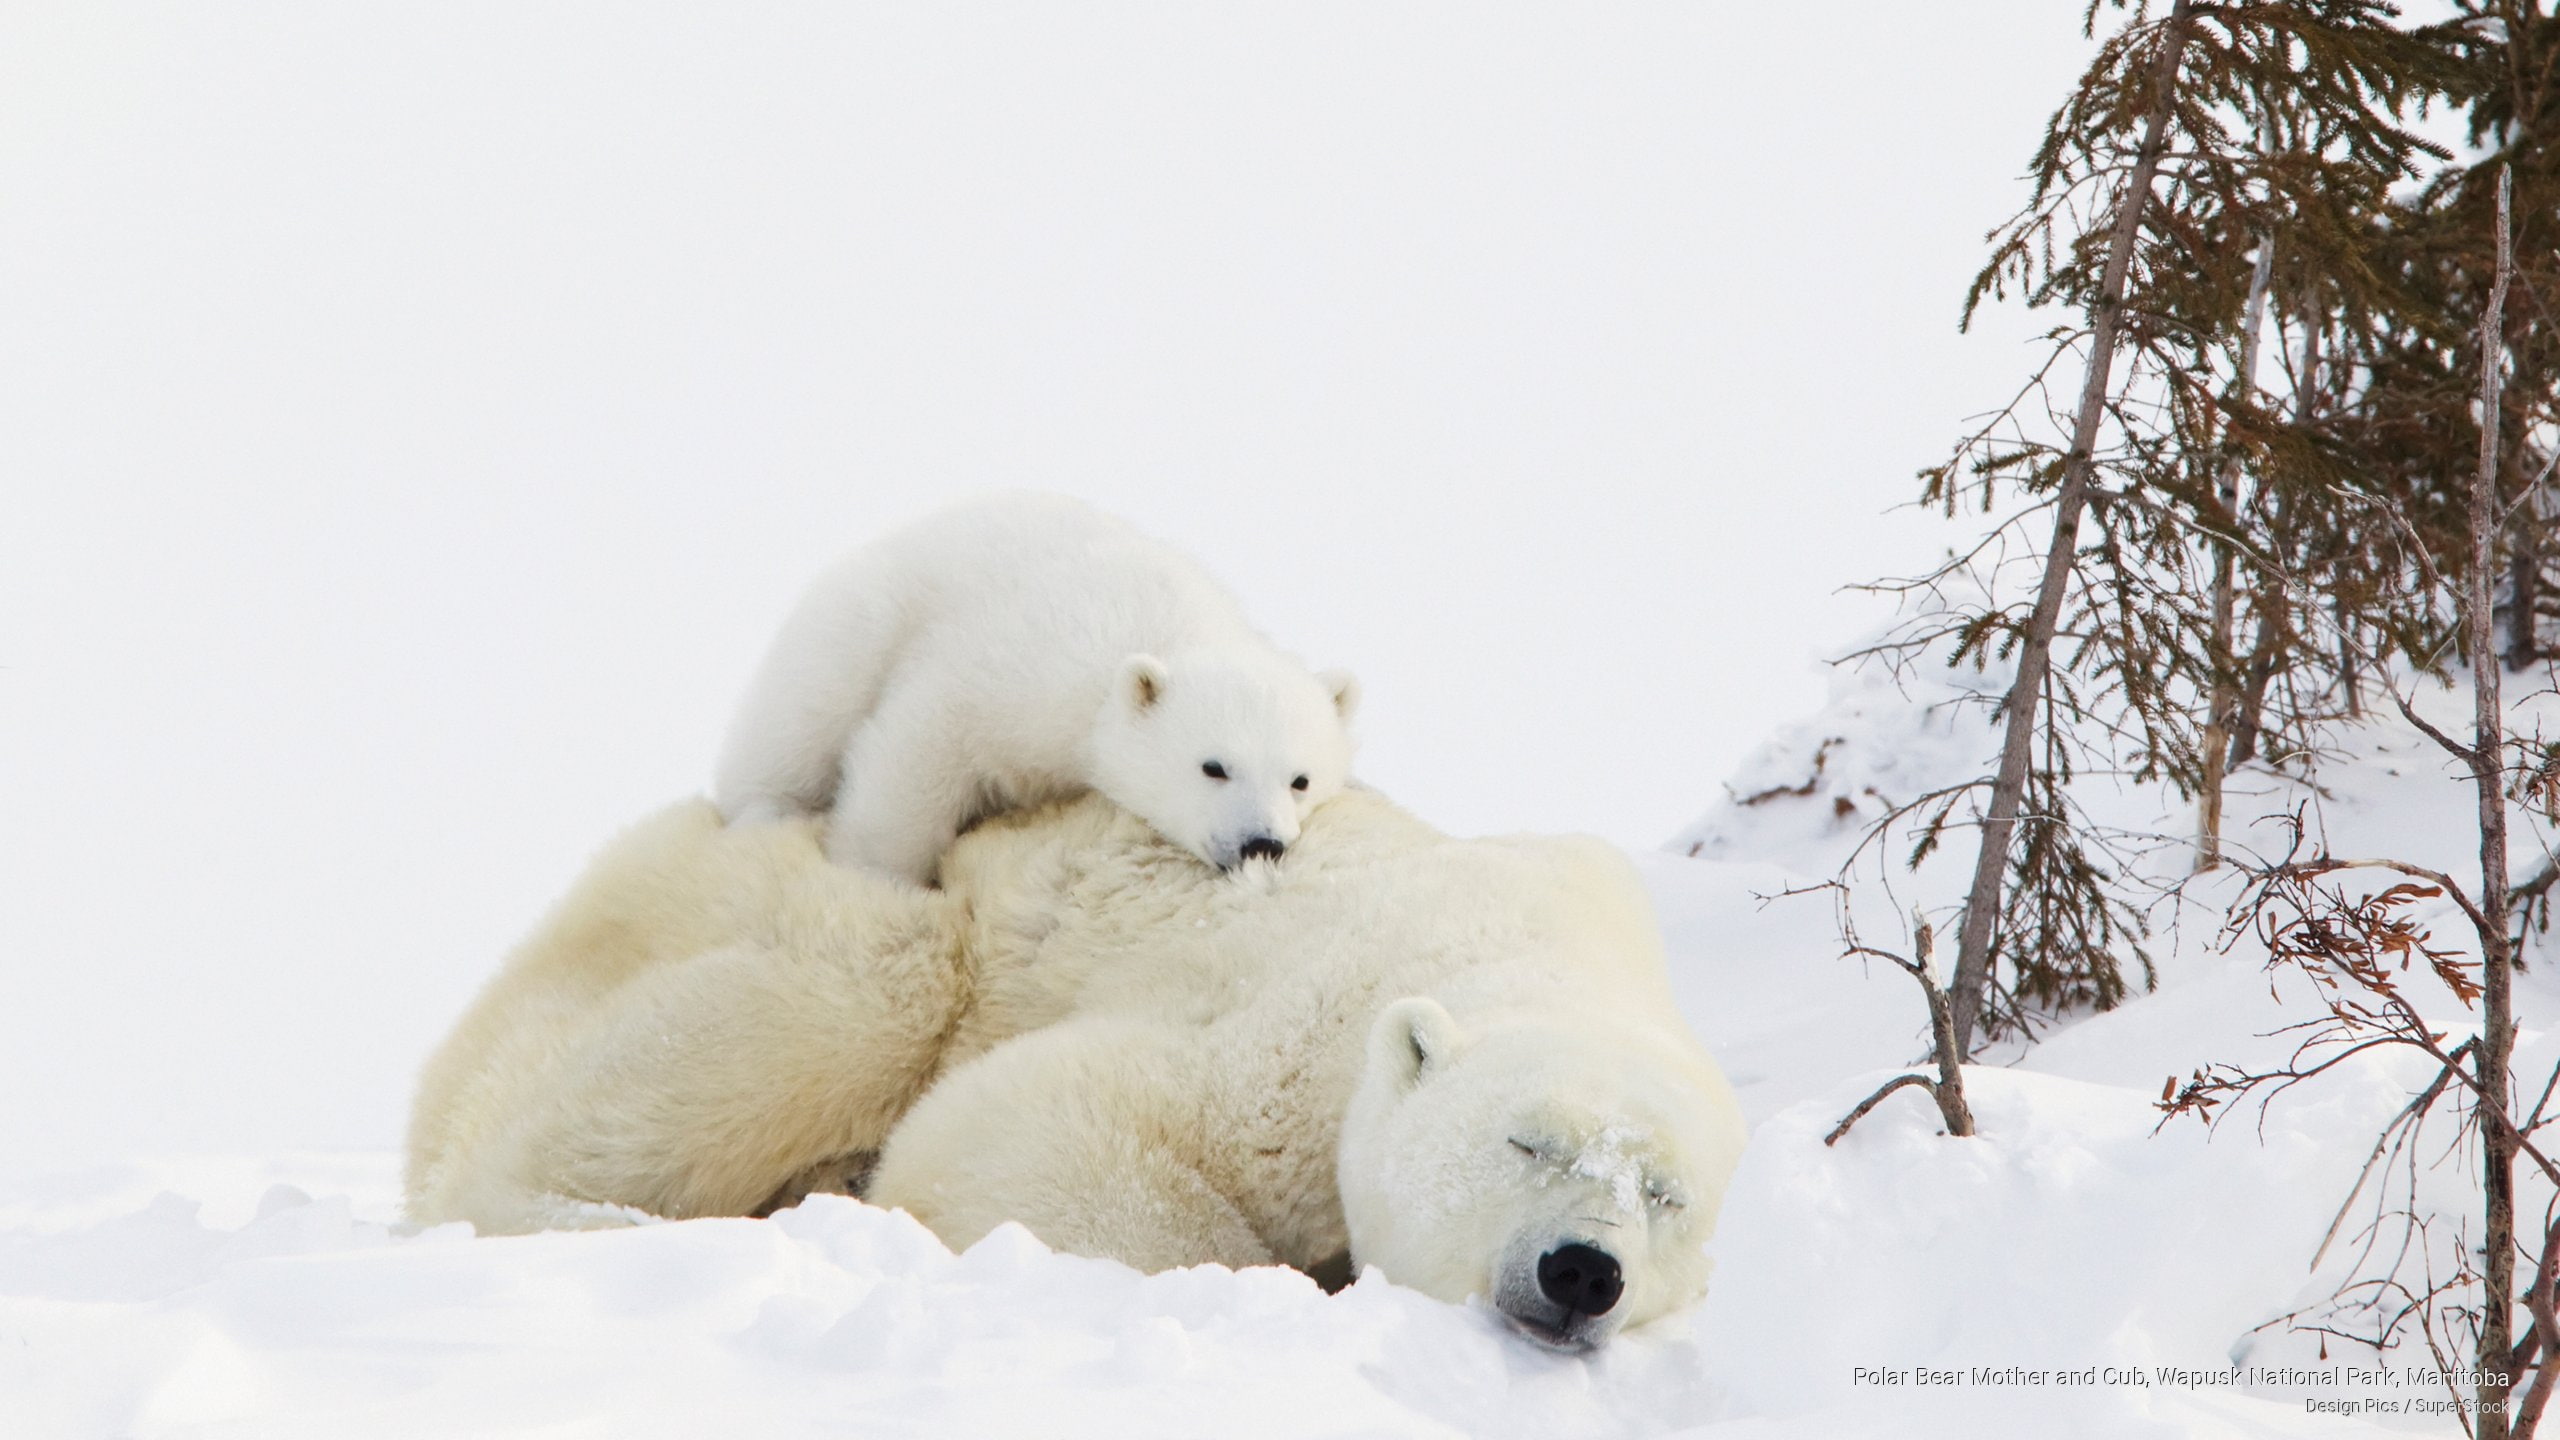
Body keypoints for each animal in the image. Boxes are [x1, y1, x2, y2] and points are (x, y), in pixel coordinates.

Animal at [405, 787, 1749, 1351]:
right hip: (797, 894)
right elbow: (1022, 1120)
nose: (1581, 1271)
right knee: (857, 987)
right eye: (1527, 1141)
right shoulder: (1299, 1022)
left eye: (1663, 1196)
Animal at [711, 492, 1360, 884]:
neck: (1164, 624)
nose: (1261, 843)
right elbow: (920, 744)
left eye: (1300, 780)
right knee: (803, 716)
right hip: (858, 621)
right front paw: (877, 876)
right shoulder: (1025, 669)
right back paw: (767, 809)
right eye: (1214, 767)